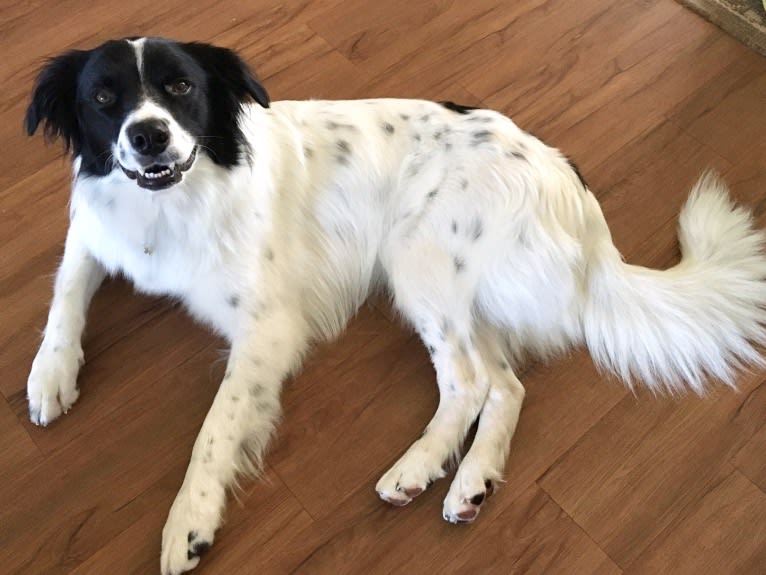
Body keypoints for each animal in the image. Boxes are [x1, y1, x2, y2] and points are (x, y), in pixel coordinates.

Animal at [27, 38, 766, 572]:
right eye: (102, 98)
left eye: (180, 87)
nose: (148, 136)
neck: (177, 200)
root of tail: (572, 190)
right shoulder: (93, 230)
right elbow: (65, 290)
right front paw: (49, 374)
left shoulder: (267, 327)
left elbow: (214, 429)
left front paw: (189, 520)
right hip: (453, 289)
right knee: (505, 384)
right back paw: (467, 480)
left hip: (416, 260)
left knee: (468, 380)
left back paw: (419, 465)